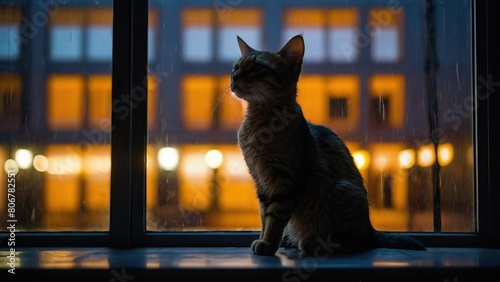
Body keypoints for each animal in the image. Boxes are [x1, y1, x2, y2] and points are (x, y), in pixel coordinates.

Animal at [230, 34, 426, 256]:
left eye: (257, 68)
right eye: (236, 67)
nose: (234, 77)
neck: (259, 125)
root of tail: (370, 229)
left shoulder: (284, 182)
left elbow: (275, 218)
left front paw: (269, 244)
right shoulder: (261, 181)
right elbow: (265, 216)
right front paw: (264, 239)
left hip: (343, 193)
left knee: (356, 243)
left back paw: (311, 243)